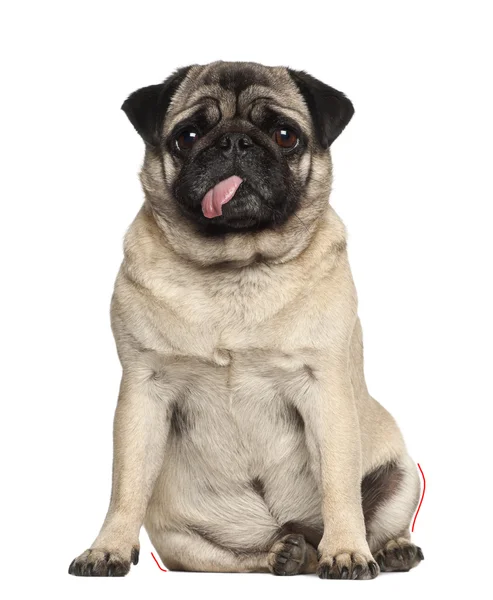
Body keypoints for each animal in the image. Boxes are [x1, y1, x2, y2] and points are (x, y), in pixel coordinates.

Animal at [68, 59, 422, 576]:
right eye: (189, 135)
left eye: (284, 135)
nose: (235, 142)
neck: (234, 267)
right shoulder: (143, 388)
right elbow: (125, 484)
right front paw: (108, 547)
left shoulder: (324, 388)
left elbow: (339, 484)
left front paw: (346, 551)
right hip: (178, 538)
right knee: (242, 557)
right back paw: (288, 552)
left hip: (402, 476)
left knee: (382, 517)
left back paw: (385, 548)